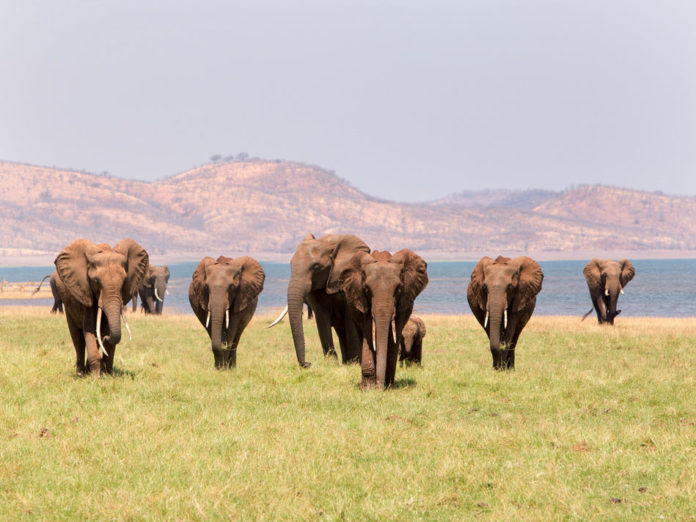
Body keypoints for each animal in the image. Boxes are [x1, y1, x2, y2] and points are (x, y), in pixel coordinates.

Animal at [55, 238, 150, 376]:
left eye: (124, 281)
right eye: (95, 281)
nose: (106, 338)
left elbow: (104, 329)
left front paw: (108, 374)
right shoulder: (85, 291)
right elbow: (89, 328)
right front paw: (96, 375)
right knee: (77, 338)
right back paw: (81, 373)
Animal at [270, 232, 370, 366]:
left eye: (316, 267)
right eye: (291, 265)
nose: (307, 363)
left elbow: (349, 317)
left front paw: (355, 364)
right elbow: (322, 317)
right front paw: (331, 363)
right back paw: (345, 362)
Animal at [338, 248, 426, 386]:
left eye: (398, 289)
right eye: (367, 290)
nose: (379, 386)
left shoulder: (404, 301)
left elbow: (395, 332)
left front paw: (388, 385)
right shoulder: (361, 299)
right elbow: (368, 333)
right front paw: (368, 387)